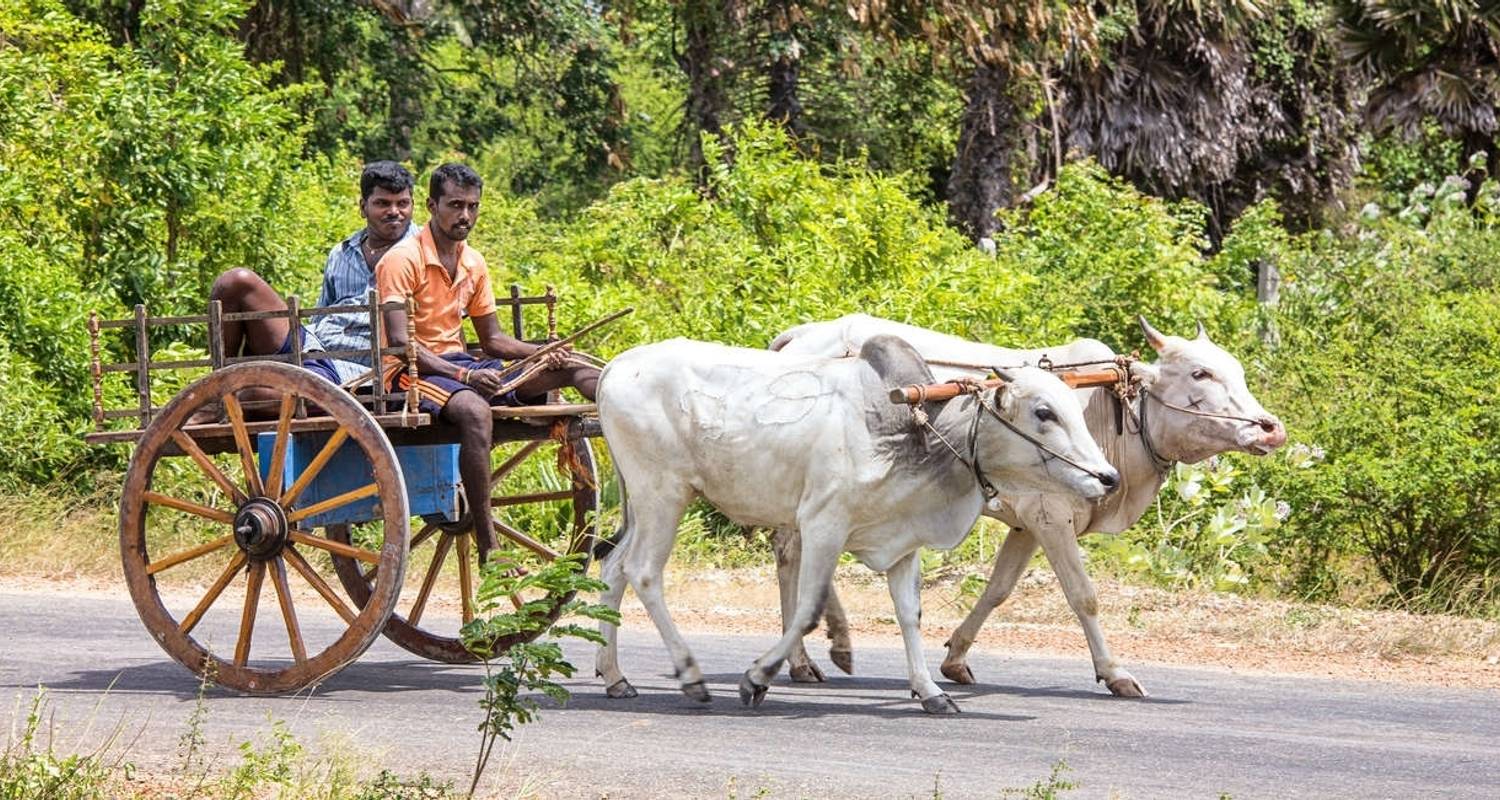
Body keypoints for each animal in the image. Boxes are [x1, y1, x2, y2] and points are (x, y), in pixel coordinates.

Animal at [591, 331, 1122, 711]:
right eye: (1044, 412)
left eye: (1076, 410)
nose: (1109, 477)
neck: (911, 430)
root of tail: (616, 366)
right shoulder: (822, 525)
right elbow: (807, 611)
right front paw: (757, 678)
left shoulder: (904, 540)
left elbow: (910, 615)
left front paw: (931, 692)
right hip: (664, 494)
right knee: (643, 572)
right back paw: (691, 676)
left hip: (647, 501)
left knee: (613, 569)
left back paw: (615, 677)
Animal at [768, 312, 1284, 693]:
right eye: (1200, 372)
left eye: (1237, 370)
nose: (1270, 428)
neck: (1107, 408)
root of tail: (802, 335)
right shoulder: (1051, 517)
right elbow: (1084, 596)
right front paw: (1115, 673)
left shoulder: (1028, 524)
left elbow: (998, 589)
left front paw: (956, 658)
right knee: (794, 554)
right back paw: (804, 659)